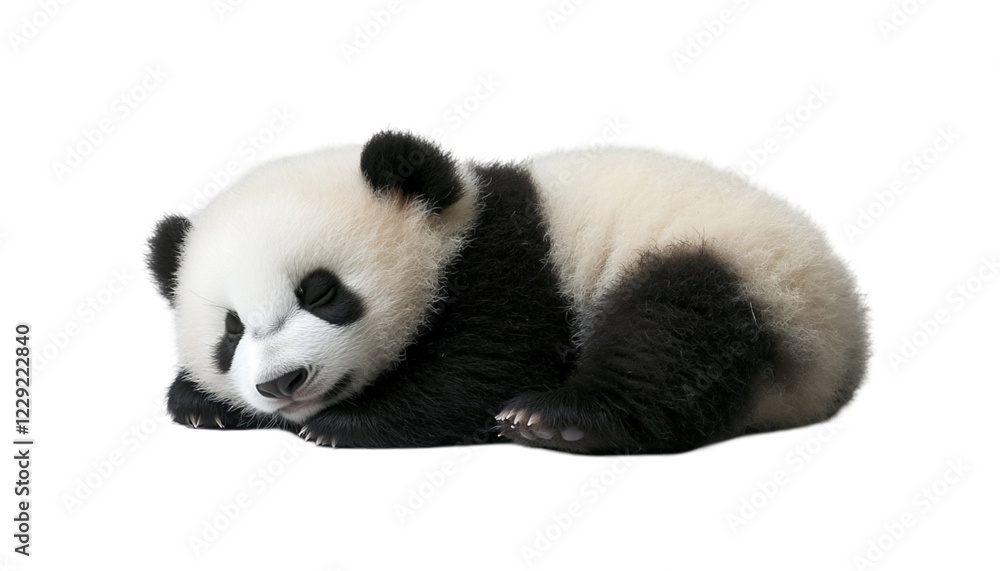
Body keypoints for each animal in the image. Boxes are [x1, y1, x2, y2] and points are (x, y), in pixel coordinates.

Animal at [147, 130, 869, 454]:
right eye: (231, 330)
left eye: (320, 292)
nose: (282, 383)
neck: (455, 227)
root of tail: (841, 355)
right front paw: (201, 401)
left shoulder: (510, 268)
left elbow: (480, 368)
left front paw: (340, 423)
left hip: (739, 266)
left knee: (670, 338)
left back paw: (553, 418)